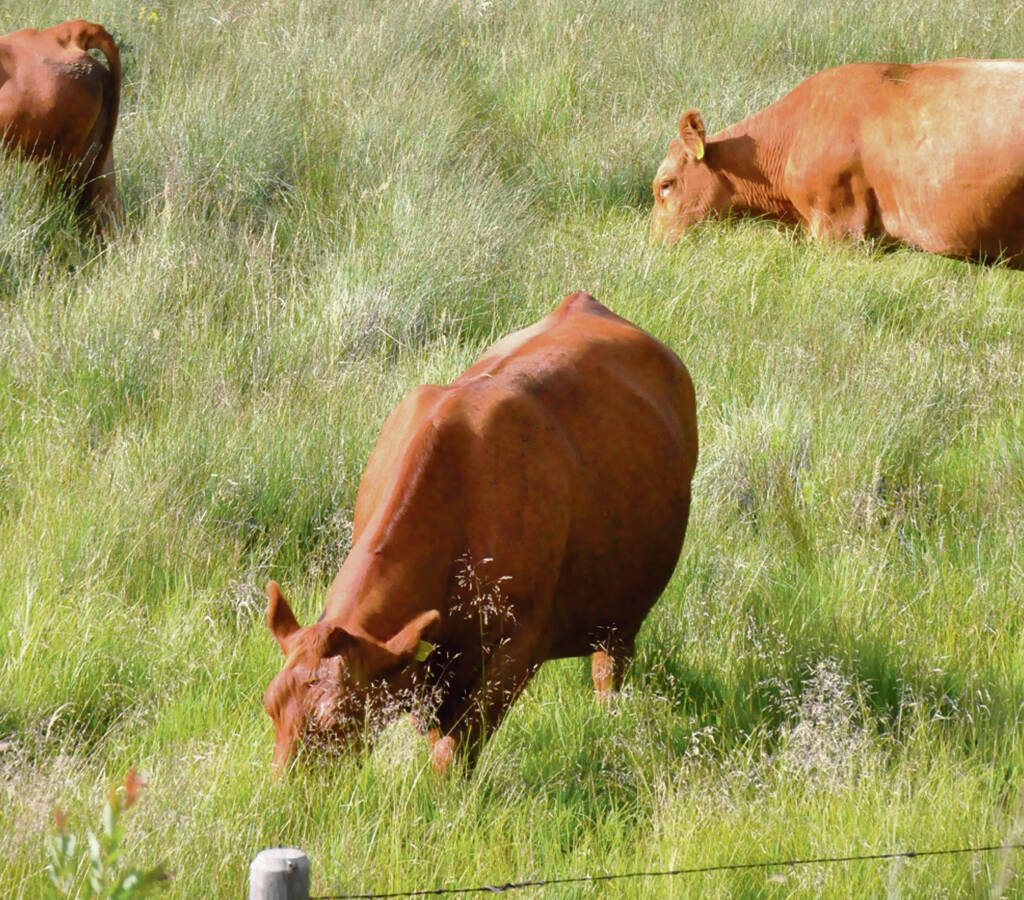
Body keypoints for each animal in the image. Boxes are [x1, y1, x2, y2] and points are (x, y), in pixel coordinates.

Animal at [263, 292, 698, 772]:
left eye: (336, 719)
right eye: (270, 705)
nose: (285, 788)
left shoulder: (517, 648)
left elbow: (456, 747)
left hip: (619, 615)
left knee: (609, 668)